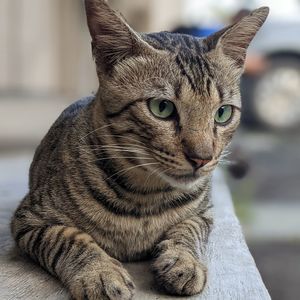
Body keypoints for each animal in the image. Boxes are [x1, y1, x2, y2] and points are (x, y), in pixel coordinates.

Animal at [9, 1, 270, 298]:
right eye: (162, 107)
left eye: (223, 113)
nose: (202, 159)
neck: (145, 197)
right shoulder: (29, 219)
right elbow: (68, 238)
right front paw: (99, 272)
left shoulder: (205, 214)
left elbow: (189, 229)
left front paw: (184, 260)